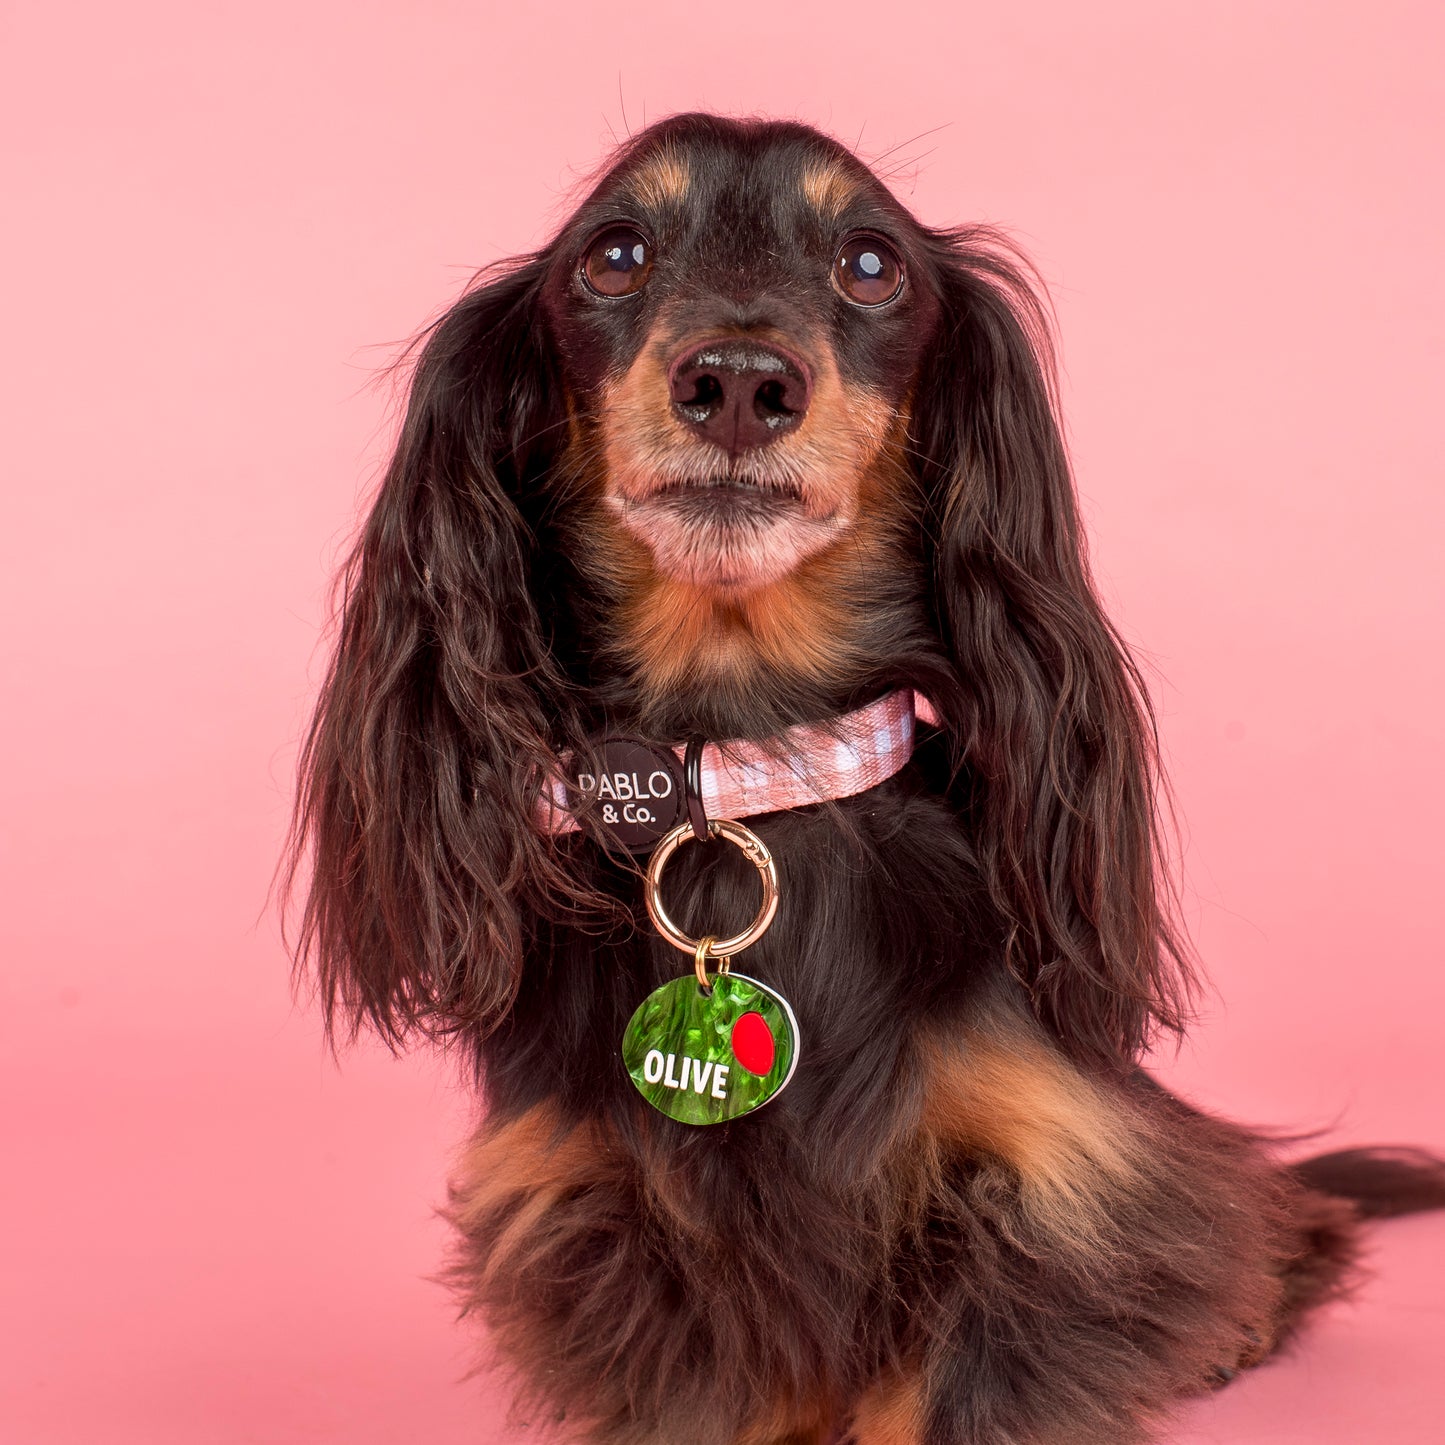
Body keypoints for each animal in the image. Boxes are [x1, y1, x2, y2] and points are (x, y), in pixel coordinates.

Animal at [289, 113, 1445, 1444]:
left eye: (870, 264)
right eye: (614, 255)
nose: (739, 381)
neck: (746, 776)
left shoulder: (1053, 1187)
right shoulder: (616, 1237)